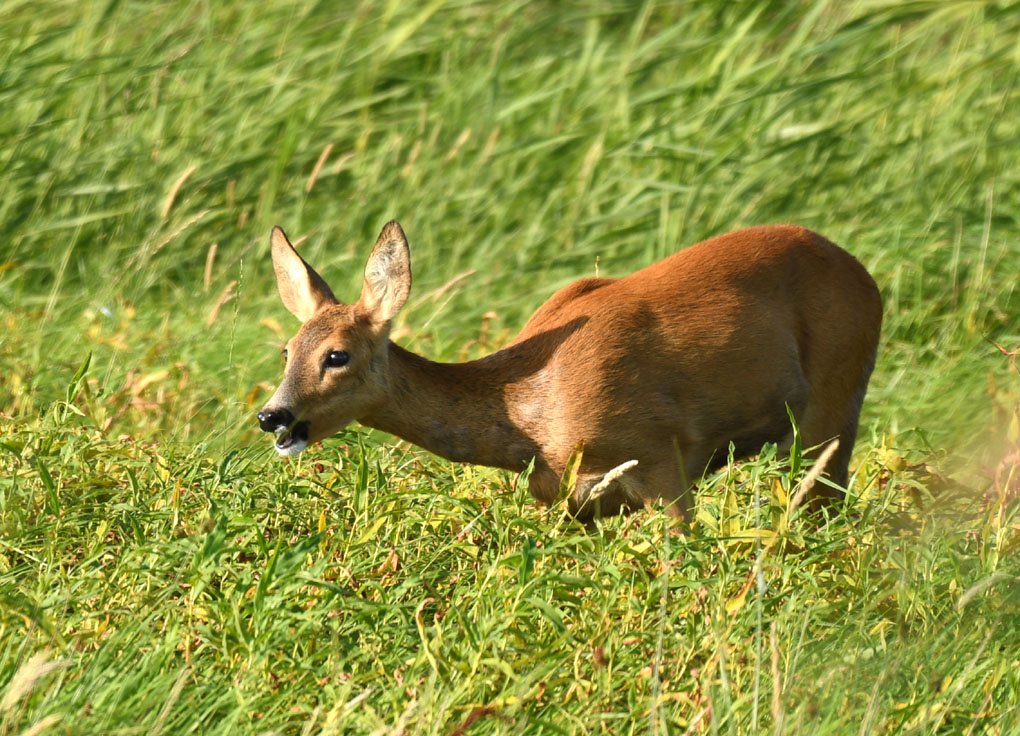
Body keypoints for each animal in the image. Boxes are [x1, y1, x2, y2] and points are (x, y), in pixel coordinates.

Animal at [256, 221, 881, 521]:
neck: (532, 417)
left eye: (336, 354)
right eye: (286, 351)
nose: (272, 415)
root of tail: (866, 274)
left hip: (831, 404)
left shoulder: (663, 459)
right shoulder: (568, 501)